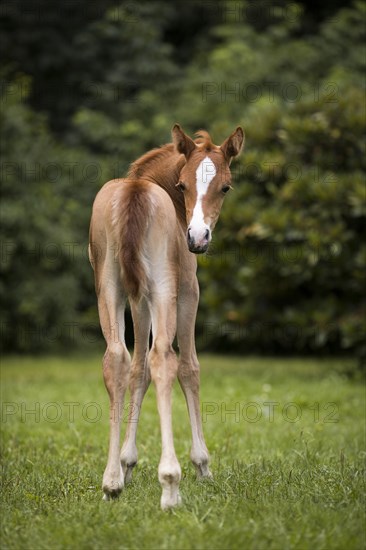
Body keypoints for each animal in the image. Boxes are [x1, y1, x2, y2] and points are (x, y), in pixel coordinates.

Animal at [88, 124, 243, 508]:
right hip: (164, 288)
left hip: (110, 287)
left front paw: (126, 464)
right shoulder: (187, 291)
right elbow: (188, 367)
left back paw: (110, 483)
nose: (198, 238)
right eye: (183, 184)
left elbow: (137, 370)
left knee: (116, 358)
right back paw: (170, 485)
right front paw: (202, 466)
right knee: (164, 358)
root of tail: (135, 192)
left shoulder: (137, 297)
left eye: (224, 186)